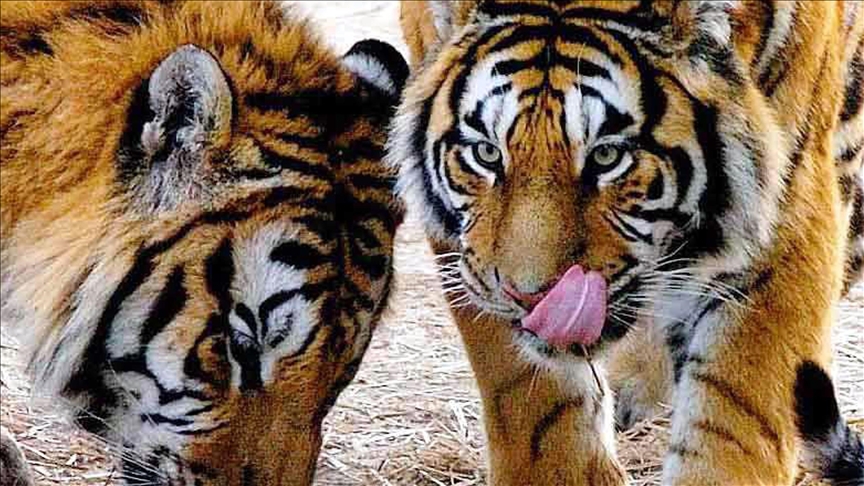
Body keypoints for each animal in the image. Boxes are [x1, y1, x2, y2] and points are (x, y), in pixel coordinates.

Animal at [391, 1, 864, 485]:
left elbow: (738, 411)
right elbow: (534, 399)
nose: (528, 297)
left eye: (607, 156)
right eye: (486, 153)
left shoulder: (789, 203)